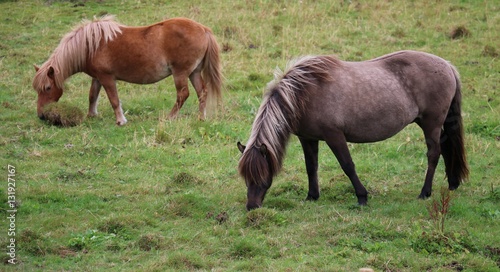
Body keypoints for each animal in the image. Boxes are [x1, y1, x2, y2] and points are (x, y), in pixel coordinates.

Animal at [34, 15, 222, 125]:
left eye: (48, 88)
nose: (41, 115)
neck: (91, 45)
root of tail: (203, 29)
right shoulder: (97, 78)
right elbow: (92, 96)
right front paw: (91, 115)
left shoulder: (107, 78)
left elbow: (114, 100)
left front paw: (120, 121)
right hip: (194, 73)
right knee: (202, 92)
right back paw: (201, 118)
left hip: (181, 74)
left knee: (183, 95)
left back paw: (170, 117)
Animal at [238, 50, 468, 210]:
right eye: (245, 176)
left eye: (262, 174)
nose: (252, 207)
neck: (304, 93)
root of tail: (447, 66)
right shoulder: (308, 138)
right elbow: (311, 167)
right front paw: (312, 196)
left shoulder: (334, 136)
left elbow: (347, 166)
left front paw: (362, 197)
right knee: (446, 150)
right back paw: (452, 183)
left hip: (431, 123)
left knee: (434, 154)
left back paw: (424, 192)